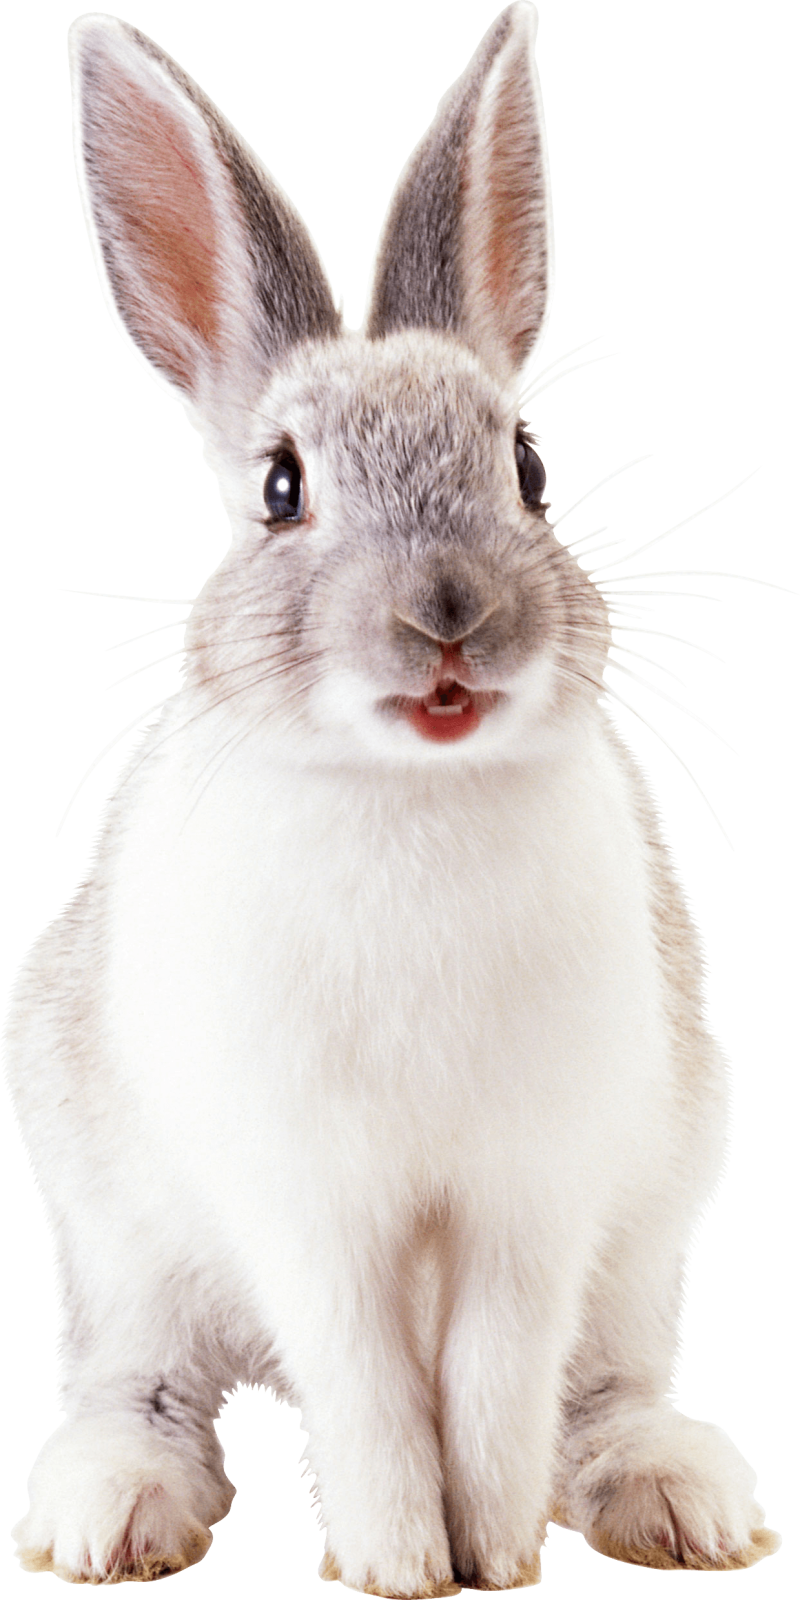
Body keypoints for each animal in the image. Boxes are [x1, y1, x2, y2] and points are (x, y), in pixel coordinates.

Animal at [2, 2, 782, 1592]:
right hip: (112, 1239)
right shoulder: (313, 1205)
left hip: (654, 1225)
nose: (448, 618)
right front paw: (398, 1568)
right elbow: (369, 1394)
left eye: (531, 468)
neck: (412, 796)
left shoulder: (530, 1200)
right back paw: (111, 1515)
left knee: (605, 1390)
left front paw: (491, 1563)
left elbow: (491, 1394)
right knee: (140, 1384)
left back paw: (679, 1502)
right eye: (279, 489)